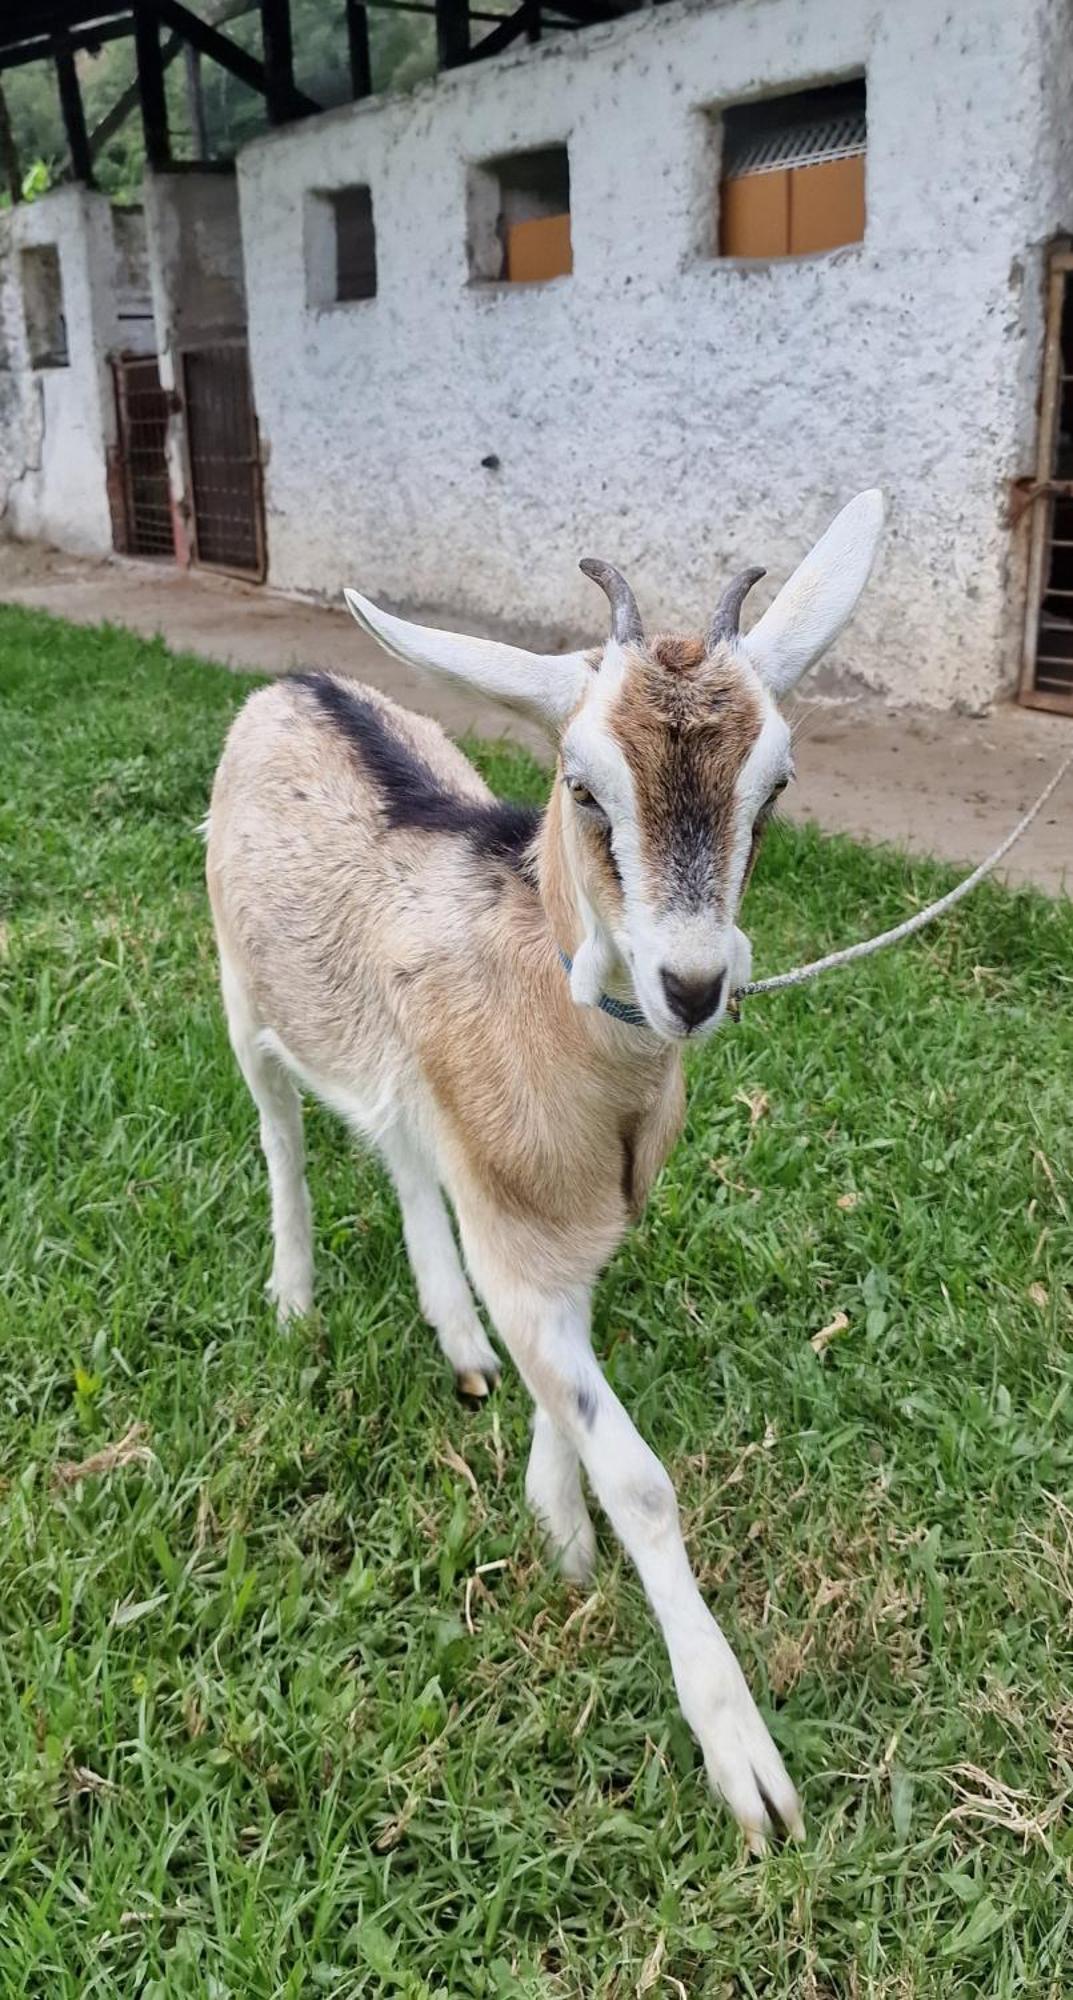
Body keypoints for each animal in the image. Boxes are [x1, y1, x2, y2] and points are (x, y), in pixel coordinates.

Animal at [205, 492, 884, 1848]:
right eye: (582, 785)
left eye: (774, 787)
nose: (691, 984)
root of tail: (294, 680)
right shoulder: (519, 1227)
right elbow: (641, 1477)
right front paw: (744, 1764)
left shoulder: (549, 1218)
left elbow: (549, 1366)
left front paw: (550, 1518)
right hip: (241, 990)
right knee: (282, 1130)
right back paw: (294, 1297)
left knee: (400, 1152)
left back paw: (455, 1338)